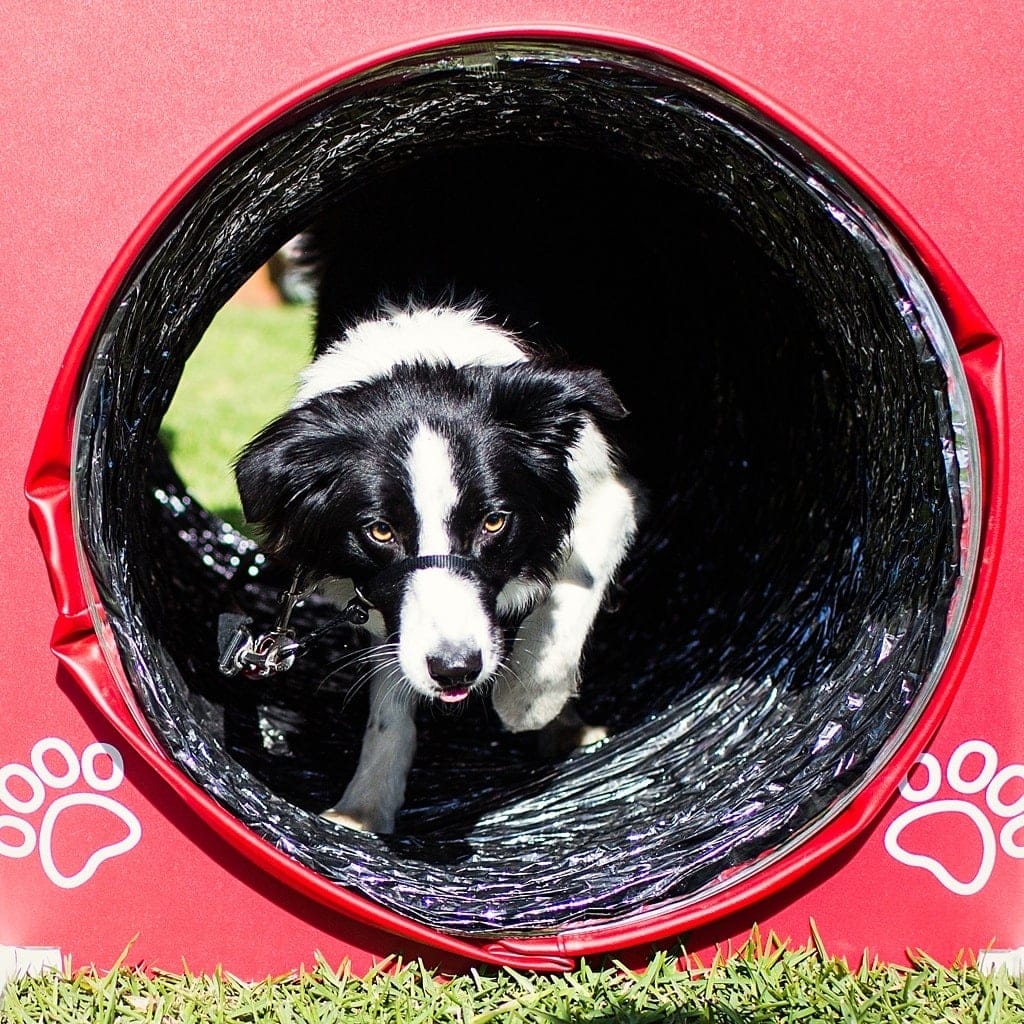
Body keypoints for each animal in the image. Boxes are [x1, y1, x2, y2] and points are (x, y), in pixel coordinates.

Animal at [237, 301, 638, 831]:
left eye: (493, 521)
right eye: (380, 531)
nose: (455, 672)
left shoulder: (606, 499)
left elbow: (569, 598)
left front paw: (529, 703)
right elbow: (391, 691)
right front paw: (365, 805)